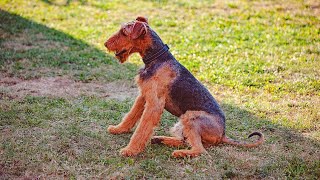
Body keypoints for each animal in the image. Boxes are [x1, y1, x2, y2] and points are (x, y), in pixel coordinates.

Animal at [104, 16, 264, 158]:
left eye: (124, 32)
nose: (106, 44)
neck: (157, 58)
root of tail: (223, 135)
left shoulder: (154, 104)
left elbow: (141, 130)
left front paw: (130, 150)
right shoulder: (143, 96)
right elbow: (131, 116)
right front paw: (118, 129)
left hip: (190, 118)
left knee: (200, 150)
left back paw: (179, 153)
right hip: (181, 124)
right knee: (186, 141)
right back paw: (160, 139)